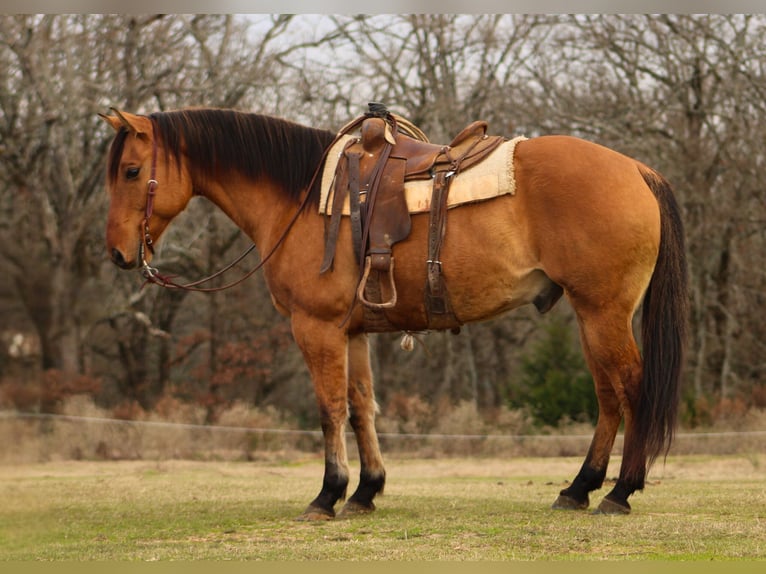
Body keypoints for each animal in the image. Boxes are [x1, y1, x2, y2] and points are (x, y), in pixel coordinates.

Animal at [100, 106, 688, 520]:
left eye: (131, 171)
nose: (118, 255)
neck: (298, 197)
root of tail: (637, 169)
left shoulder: (315, 329)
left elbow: (329, 410)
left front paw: (328, 494)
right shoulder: (354, 333)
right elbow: (362, 407)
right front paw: (366, 491)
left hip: (604, 313)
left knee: (631, 389)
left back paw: (620, 490)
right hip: (592, 317)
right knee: (608, 396)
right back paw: (580, 487)